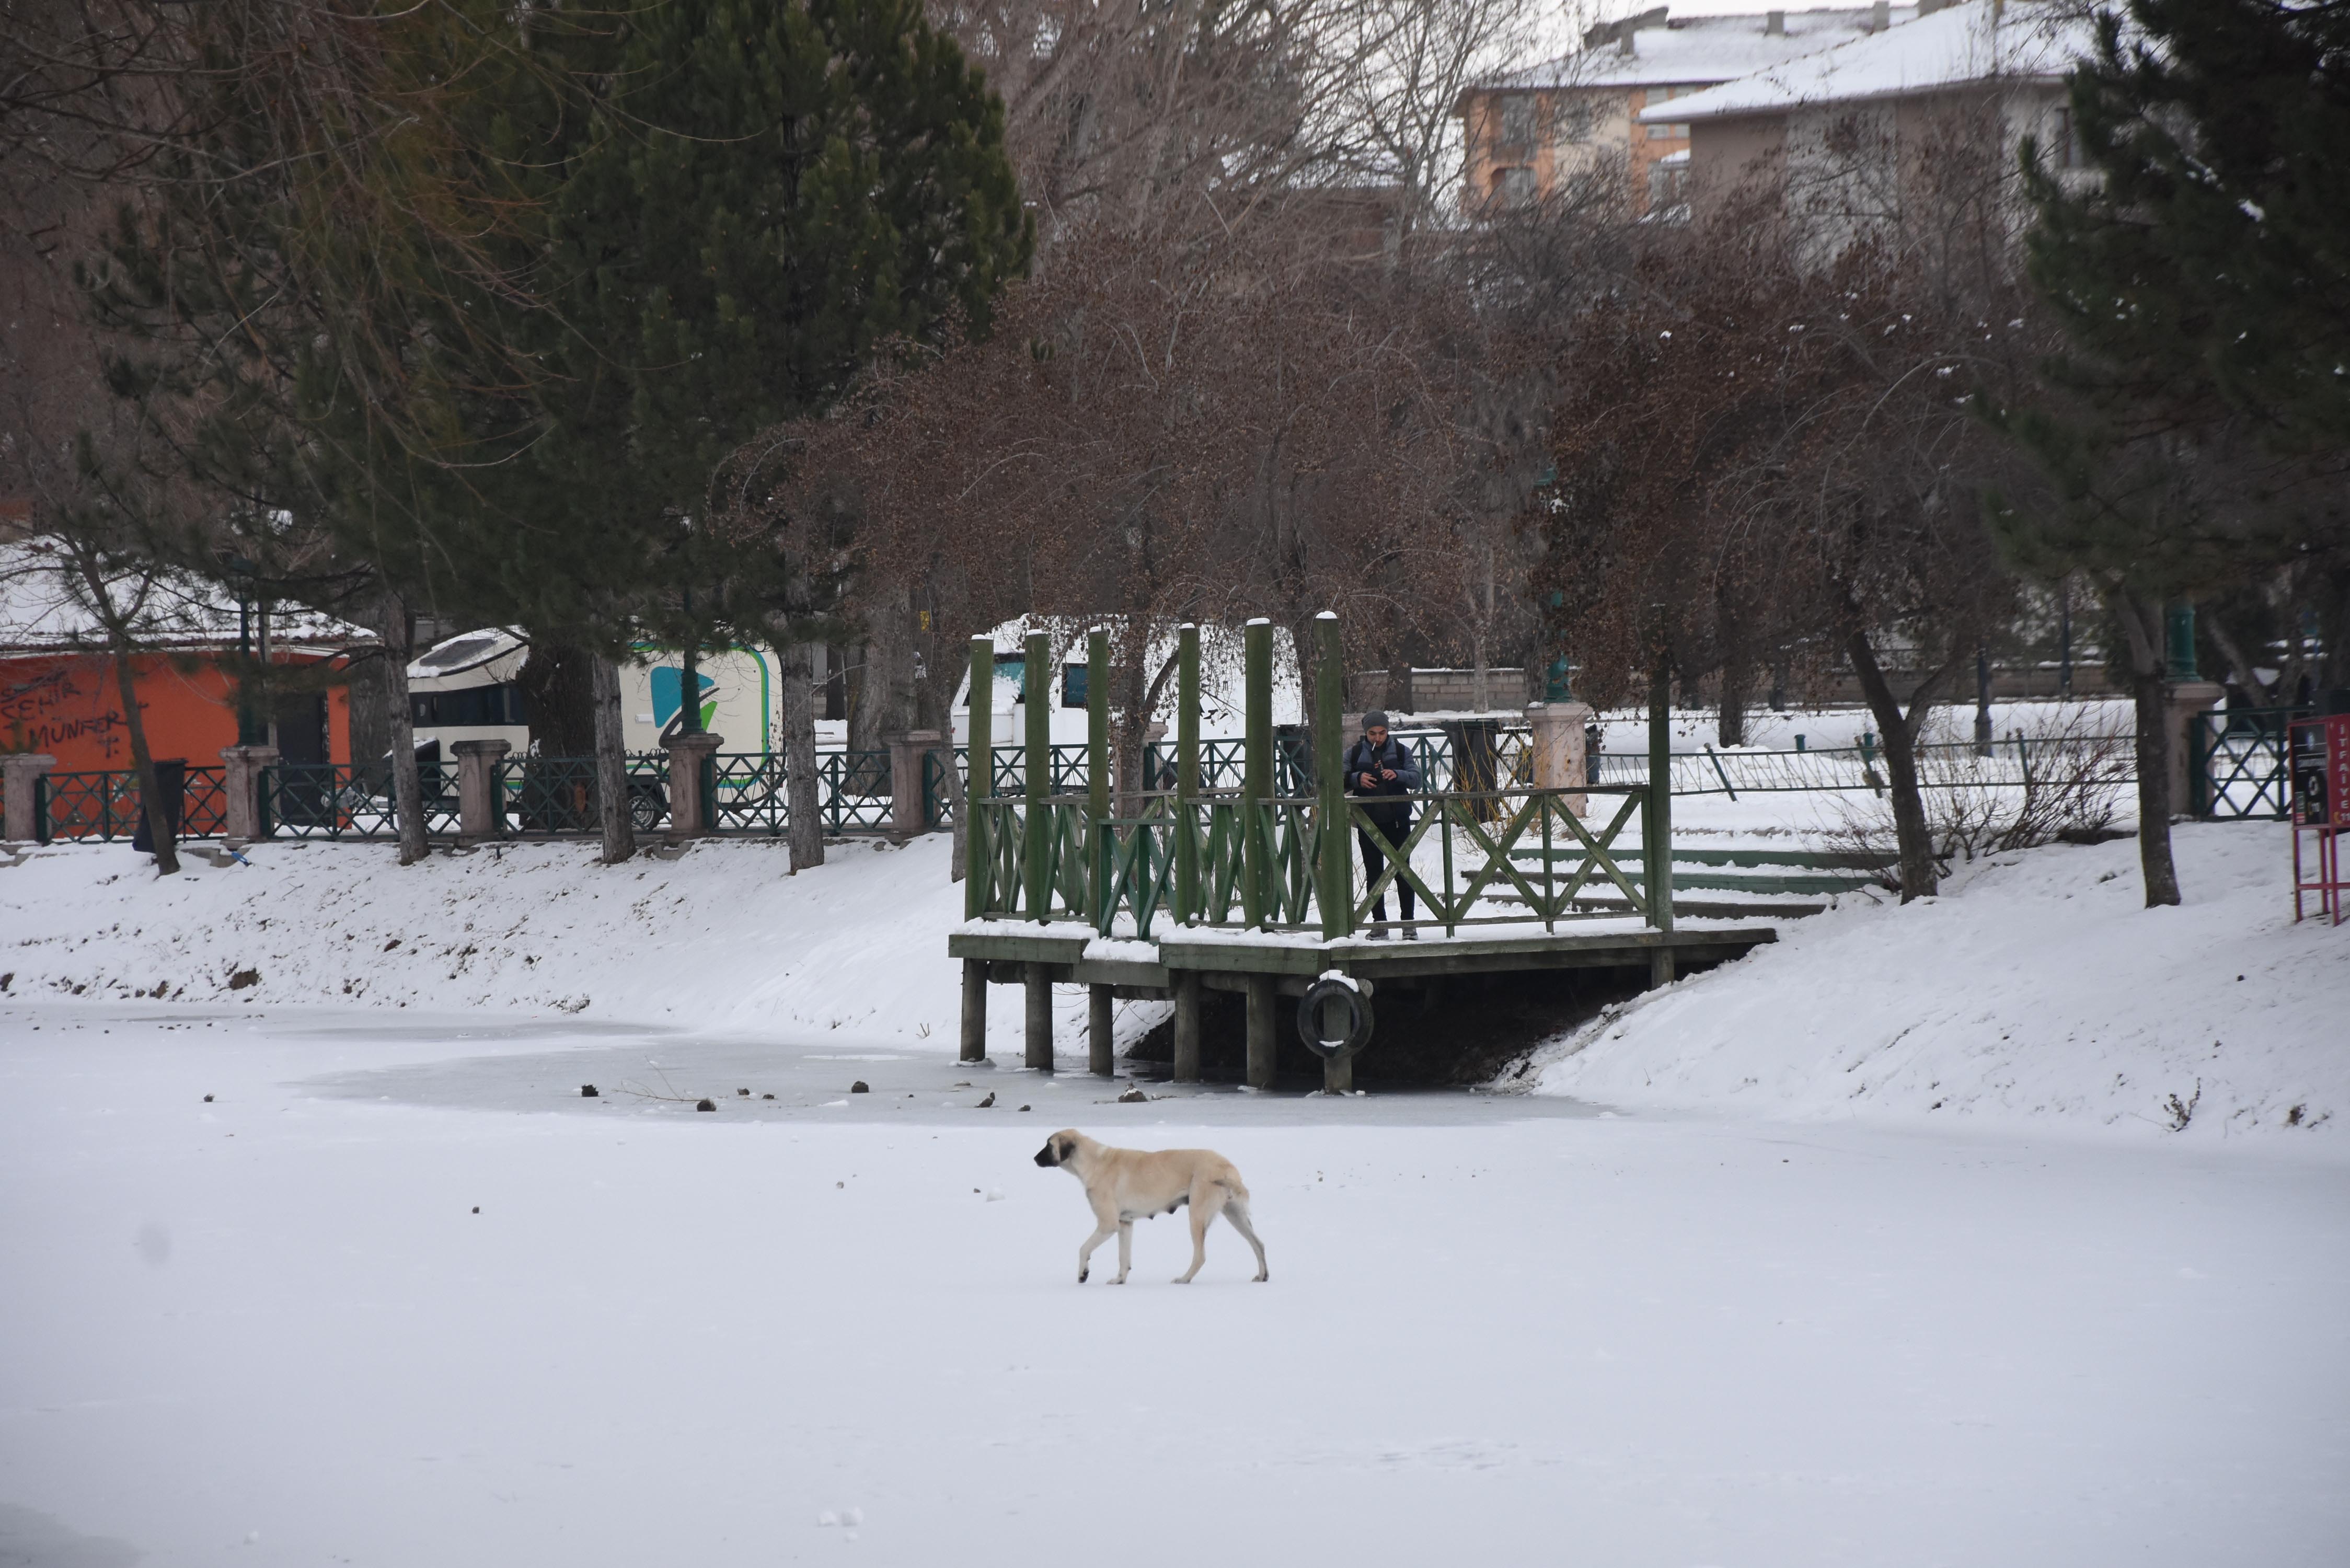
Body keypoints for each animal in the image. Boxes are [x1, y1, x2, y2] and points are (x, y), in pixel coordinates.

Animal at [1029, 1128, 1269, 1288]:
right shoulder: (1124, 1224)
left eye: (1048, 1145)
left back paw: (1184, 1279)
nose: (1033, 1159)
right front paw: (1120, 1279)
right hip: (1235, 1214)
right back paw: (1262, 1276)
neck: (1093, 1162)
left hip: (1197, 1215)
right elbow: (1123, 1257)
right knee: (1259, 1245)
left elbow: (1083, 1248)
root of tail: (1228, 1167)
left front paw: (1083, 1273)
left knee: (1200, 1256)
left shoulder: (1108, 1224)